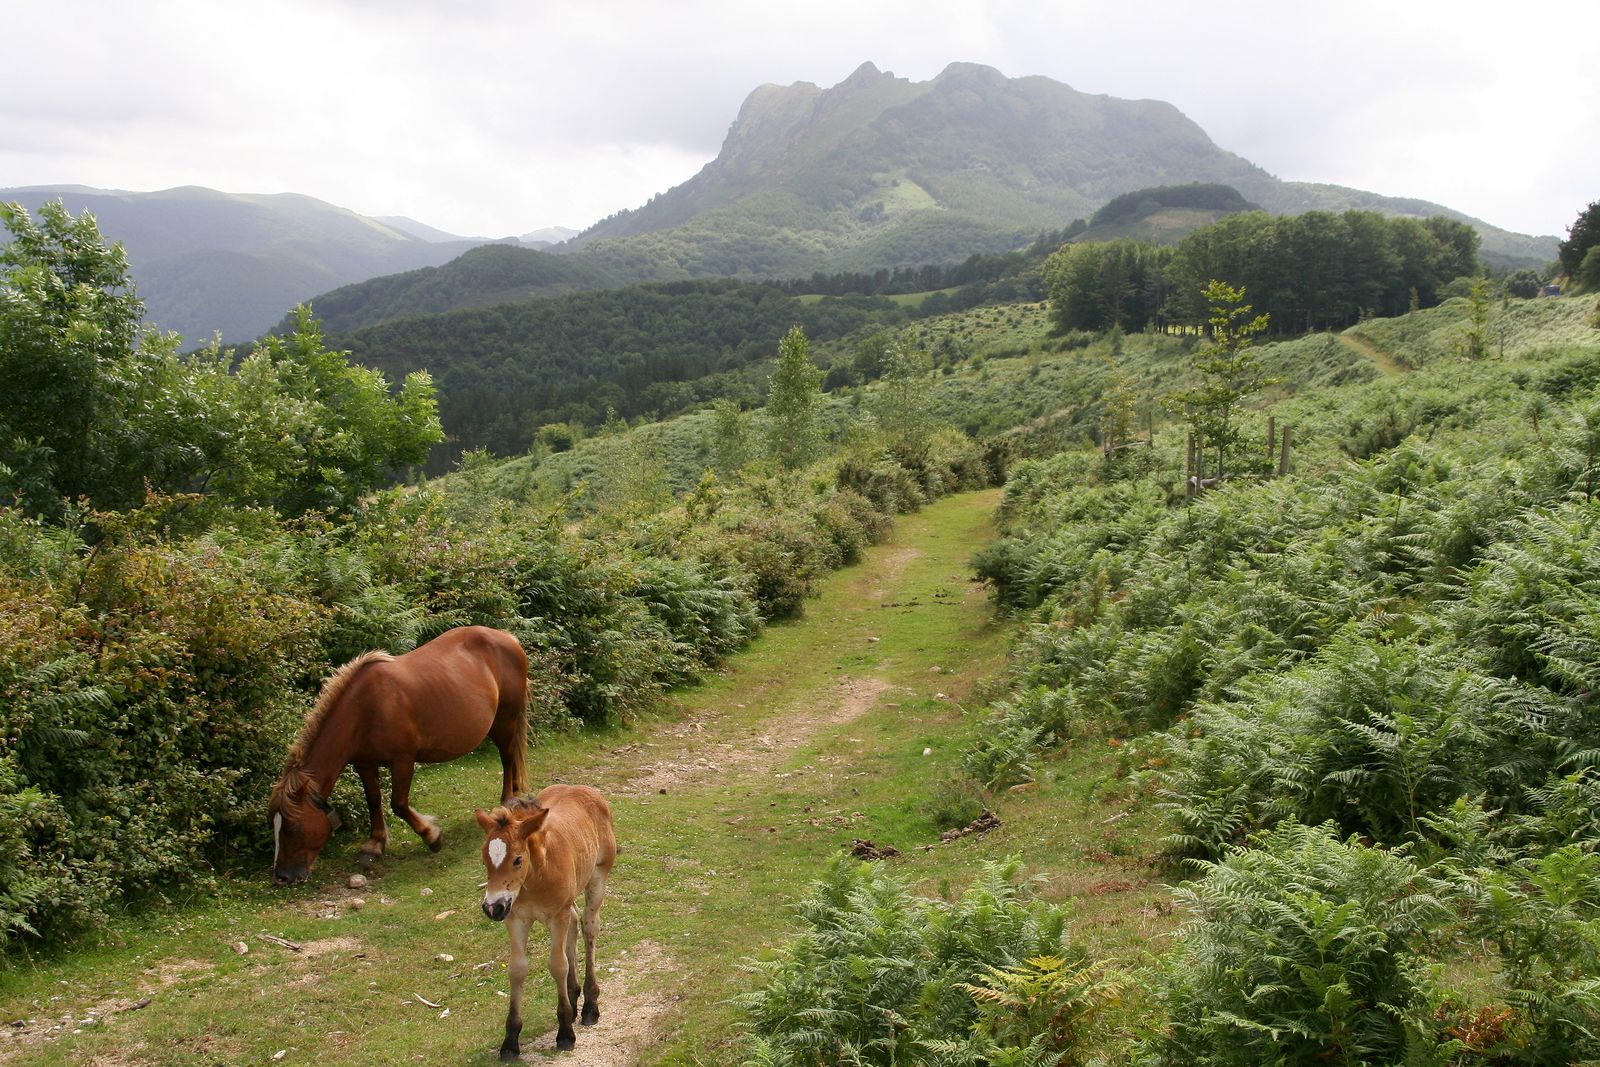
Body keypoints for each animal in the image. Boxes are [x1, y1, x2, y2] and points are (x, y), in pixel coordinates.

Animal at [268, 627, 528, 883]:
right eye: (274, 825)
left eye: (291, 827)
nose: (282, 876)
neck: (366, 709)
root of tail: (507, 638)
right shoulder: (364, 763)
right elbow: (373, 799)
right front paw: (375, 844)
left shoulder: (403, 760)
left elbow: (398, 804)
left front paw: (431, 835)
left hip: (505, 720)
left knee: (507, 758)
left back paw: (506, 801)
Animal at [470, 783, 614, 1062]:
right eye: (484, 860)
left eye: (517, 859)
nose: (492, 907)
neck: (535, 877)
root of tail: (582, 789)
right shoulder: (515, 918)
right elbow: (517, 969)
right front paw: (510, 1041)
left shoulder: (556, 916)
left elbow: (558, 965)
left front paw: (565, 1032)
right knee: (574, 922)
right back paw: (573, 997)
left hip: (598, 876)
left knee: (589, 926)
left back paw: (590, 1006)